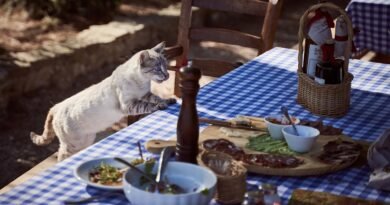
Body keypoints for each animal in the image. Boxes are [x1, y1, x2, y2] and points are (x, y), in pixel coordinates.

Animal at [30, 41, 175, 161]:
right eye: (157, 69)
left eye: (166, 66)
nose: (167, 75)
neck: (142, 83)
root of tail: (57, 105)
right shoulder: (128, 105)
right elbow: (147, 105)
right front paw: (161, 106)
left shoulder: (145, 94)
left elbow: (156, 97)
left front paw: (169, 100)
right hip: (73, 145)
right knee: (61, 156)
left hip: (86, 140)